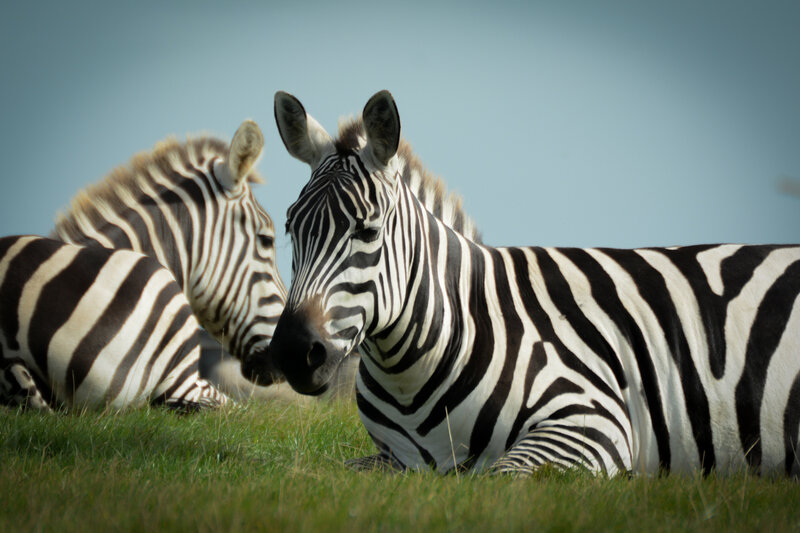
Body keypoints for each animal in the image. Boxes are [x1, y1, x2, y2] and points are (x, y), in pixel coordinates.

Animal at [260, 89, 800, 477]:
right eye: (288, 228)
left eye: (367, 231)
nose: (291, 352)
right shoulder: (390, 460)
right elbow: (322, 471)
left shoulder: (592, 418)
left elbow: (501, 477)